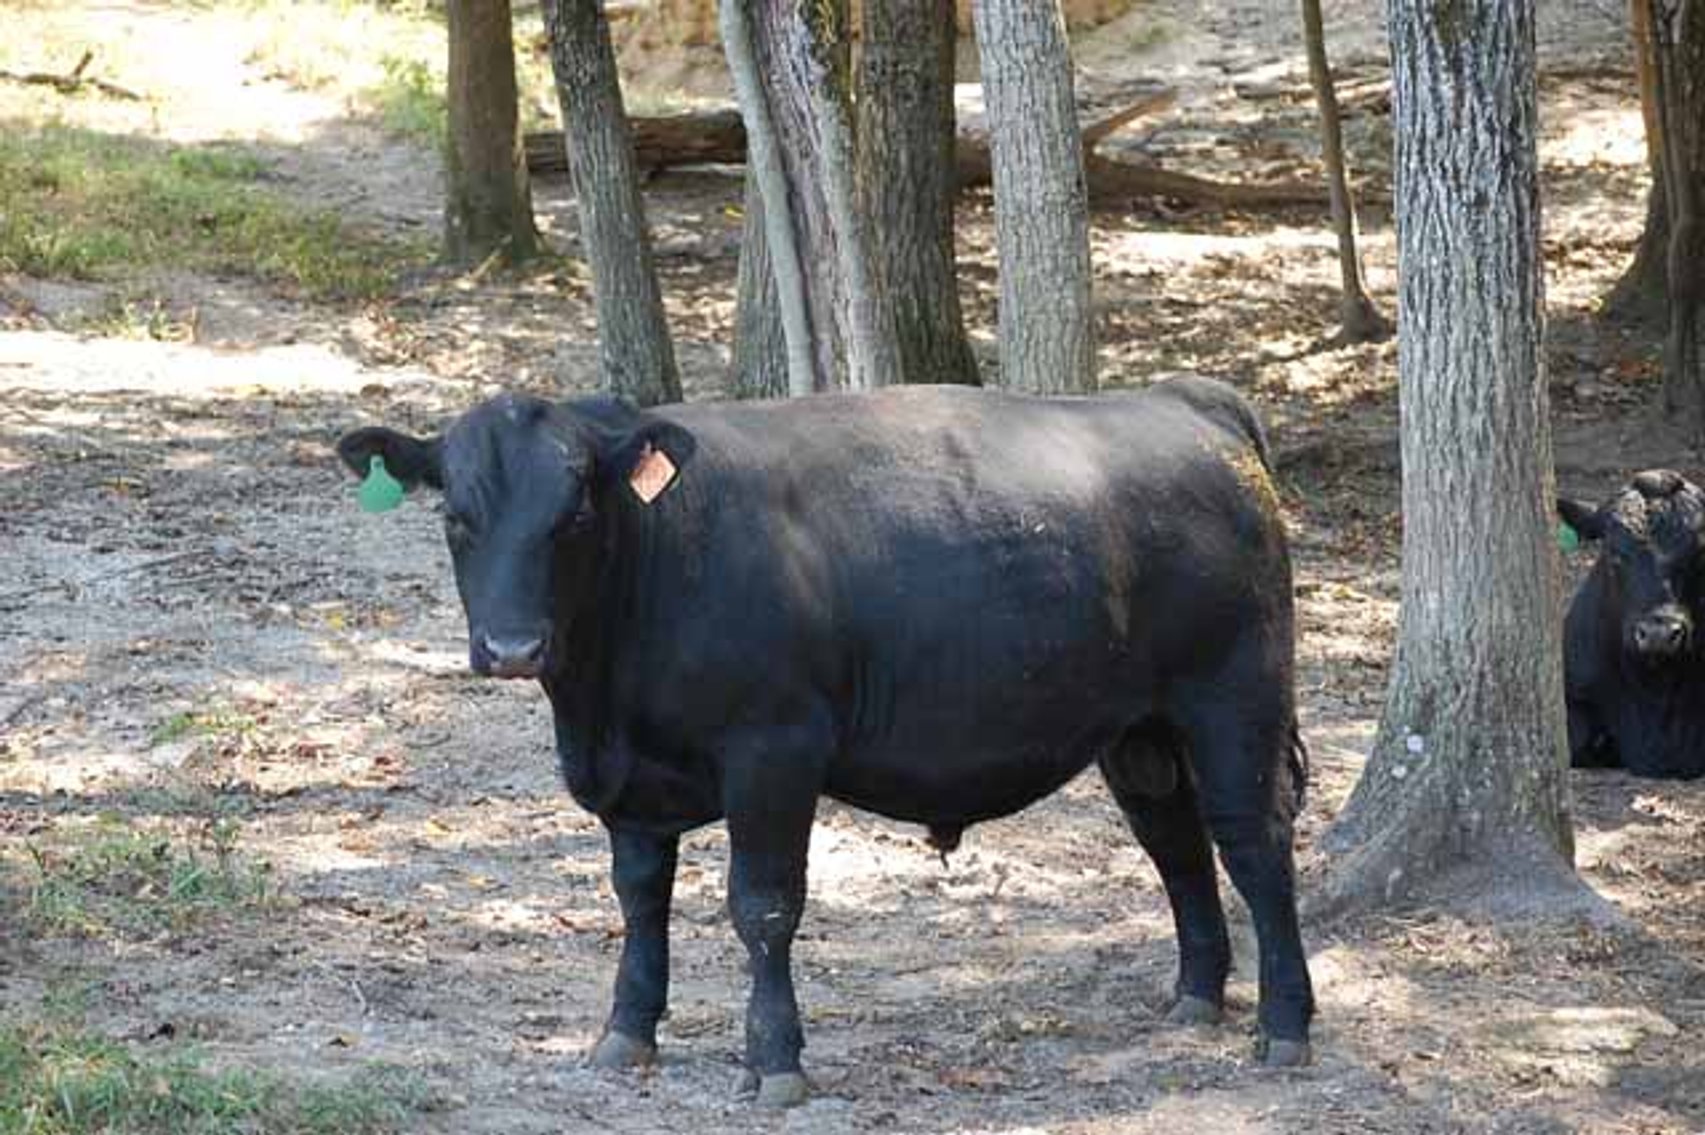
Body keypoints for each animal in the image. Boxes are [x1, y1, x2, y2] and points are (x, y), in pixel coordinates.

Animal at [337, 377, 1315, 1106]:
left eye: (573, 514)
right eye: (457, 517)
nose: (512, 648)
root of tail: (1184, 403)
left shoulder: (774, 749)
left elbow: (763, 905)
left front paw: (774, 1061)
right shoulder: (629, 783)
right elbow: (639, 899)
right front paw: (626, 1032)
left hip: (1233, 694)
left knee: (1253, 842)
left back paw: (1284, 1023)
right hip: (1139, 729)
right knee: (1175, 844)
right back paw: (1196, 995)